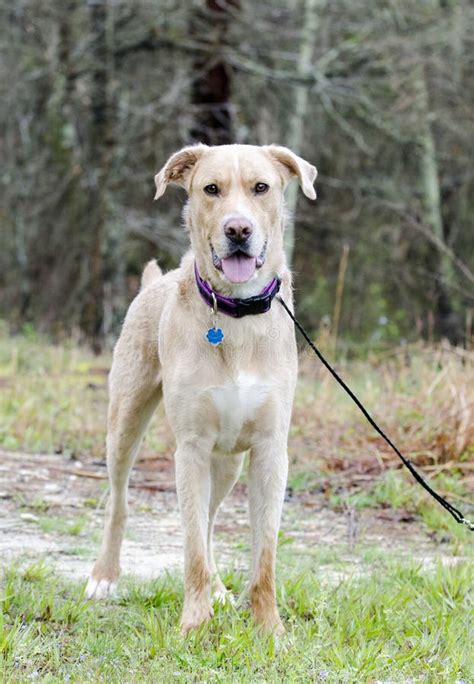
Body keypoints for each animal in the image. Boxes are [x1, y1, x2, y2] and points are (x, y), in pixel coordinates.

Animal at [88, 144, 318, 636]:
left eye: (261, 187)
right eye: (211, 189)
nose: (238, 229)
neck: (236, 313)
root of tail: (153, 282)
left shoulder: (270, 450)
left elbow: (264, 554)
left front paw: (270, 630)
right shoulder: (190, 448)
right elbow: (191, 547)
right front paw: (193, 627)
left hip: (228, 460)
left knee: (211, 520)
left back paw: (218, 589)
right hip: (125, 422)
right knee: (120, 501)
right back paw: (105, 576)